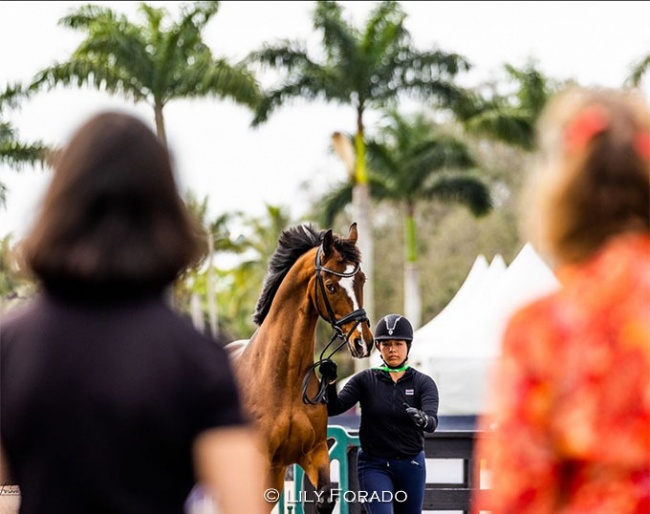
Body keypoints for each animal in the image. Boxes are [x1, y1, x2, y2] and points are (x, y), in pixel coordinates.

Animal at [228, 222, 372, 510]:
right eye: (330, 286)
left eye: (361, 280)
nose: (363, 342)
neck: (285, 378)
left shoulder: (314, 453)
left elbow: (325, 499)